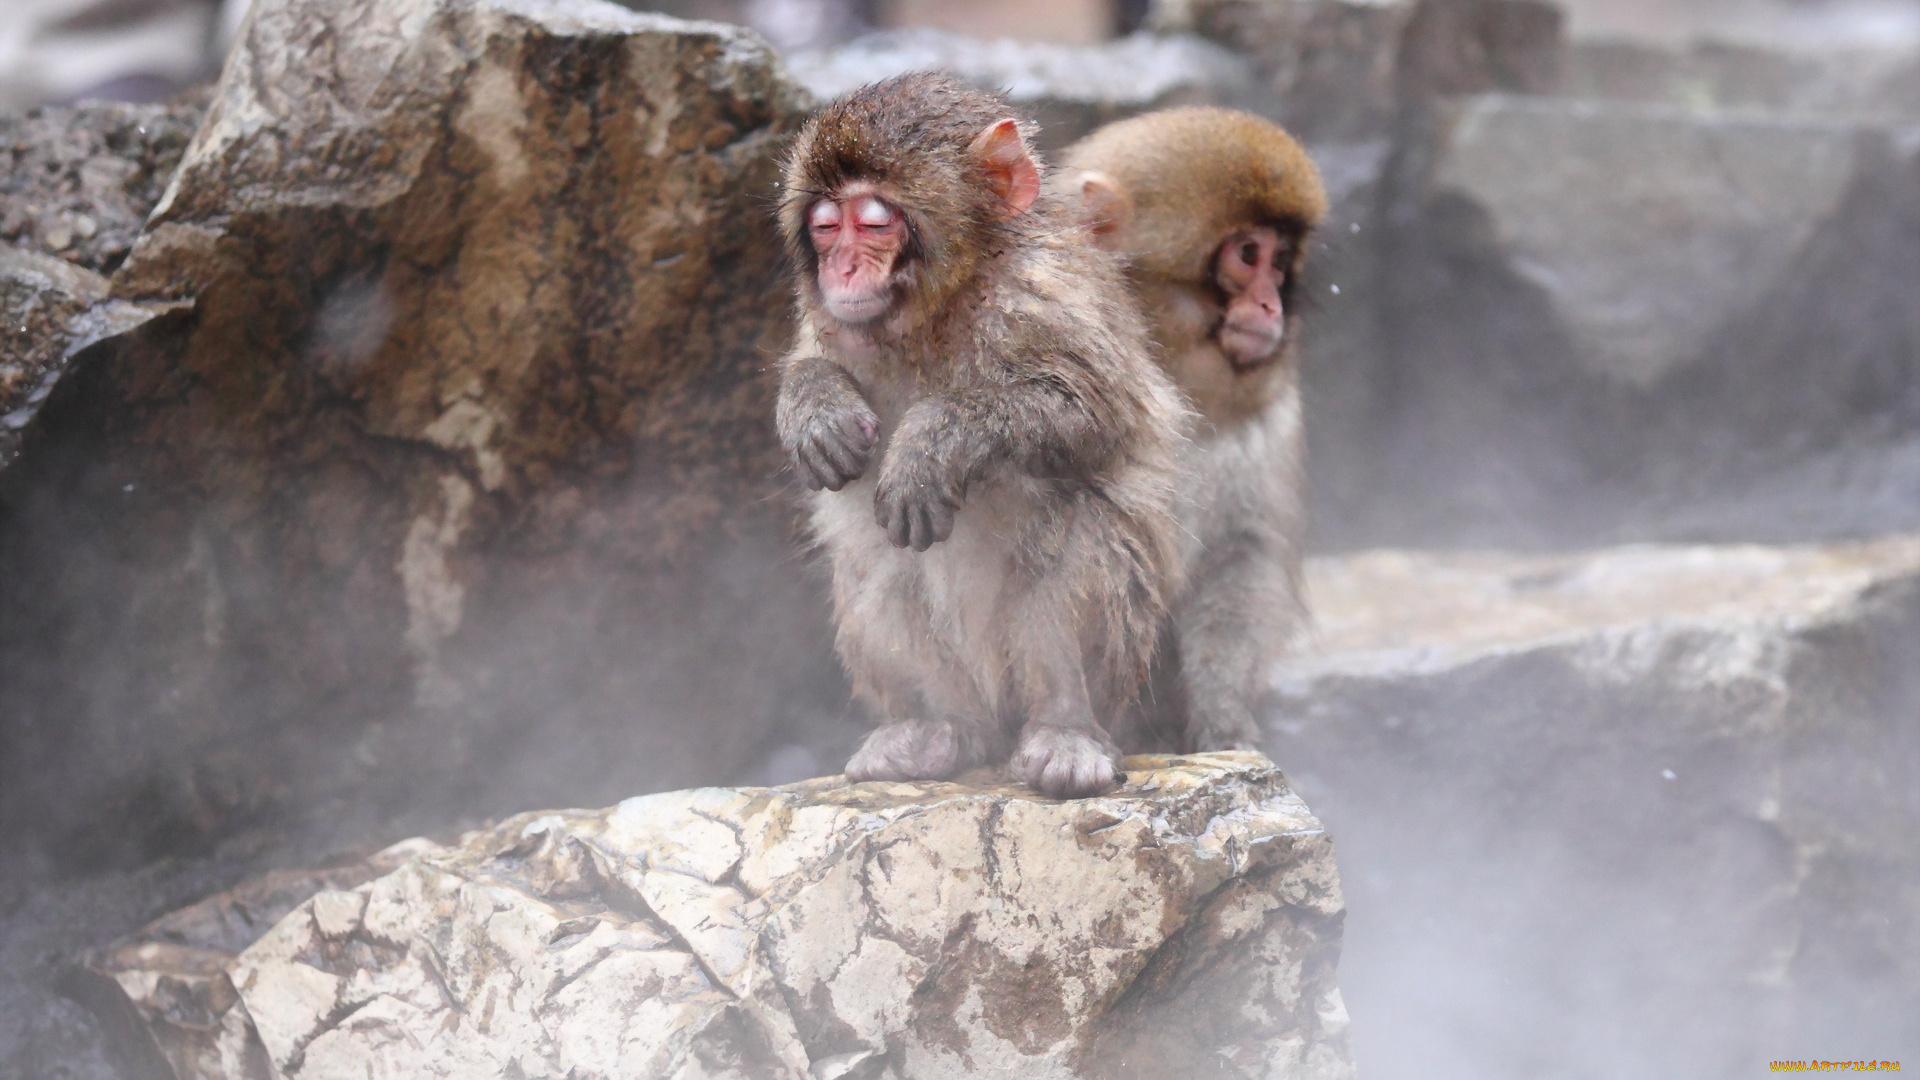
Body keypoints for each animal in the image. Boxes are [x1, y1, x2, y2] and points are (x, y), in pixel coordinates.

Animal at [775, 71, 1190, 795]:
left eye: (873, 223)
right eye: (825, 228)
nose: (840, 271)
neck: (943, 307)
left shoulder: (1045, 293)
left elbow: (1092, 410)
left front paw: (932, 440)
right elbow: (813, 359)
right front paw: (813, 404)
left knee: (1079, 532)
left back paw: (1065, 729)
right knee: (880, 566)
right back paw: (940, 729)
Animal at [1059, 107, 1328, 749]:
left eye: (1281, 261)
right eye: (1248, 254)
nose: (1272, 308)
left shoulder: (1272, 414)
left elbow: (1242, 554)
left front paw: (1221, 711)